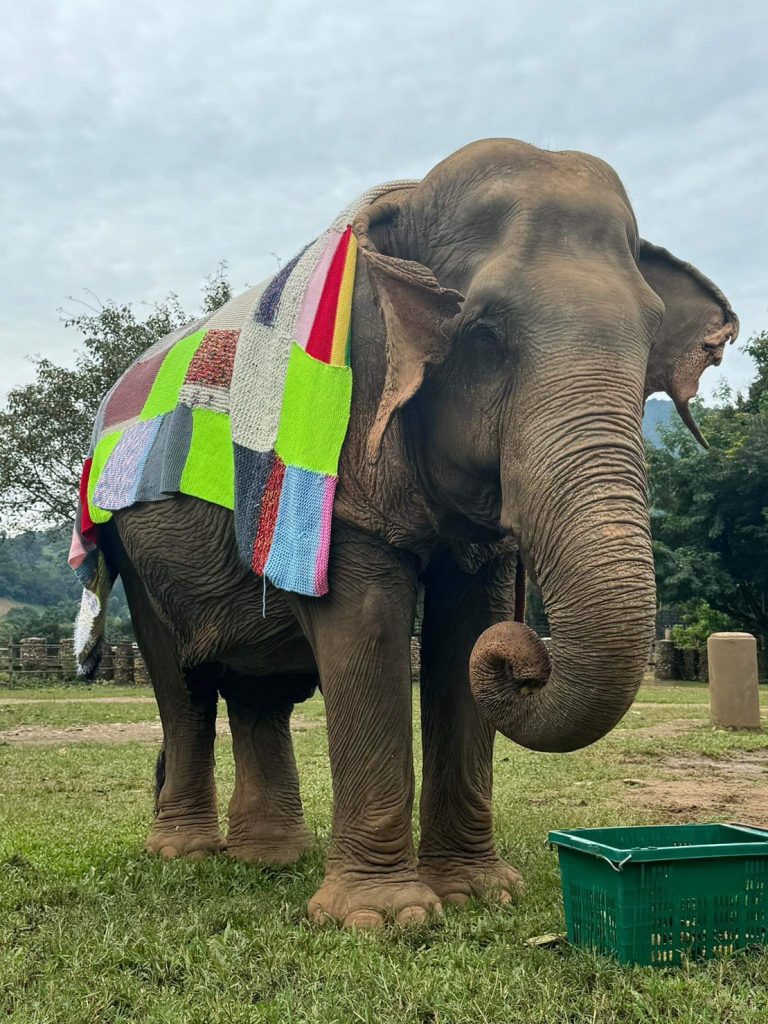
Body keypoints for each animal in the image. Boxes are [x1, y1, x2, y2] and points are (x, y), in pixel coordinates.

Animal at [91, 138, 741, 929]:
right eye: (484, 334)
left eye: (650, 344)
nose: (525, 654)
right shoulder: (343, 432)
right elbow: (367, 623)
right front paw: (387, 920)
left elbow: (467, 627)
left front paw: (480, 895)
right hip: (127, 546)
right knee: (181, 684)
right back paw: (185, 856)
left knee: (257, 690)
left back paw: (270, 859)